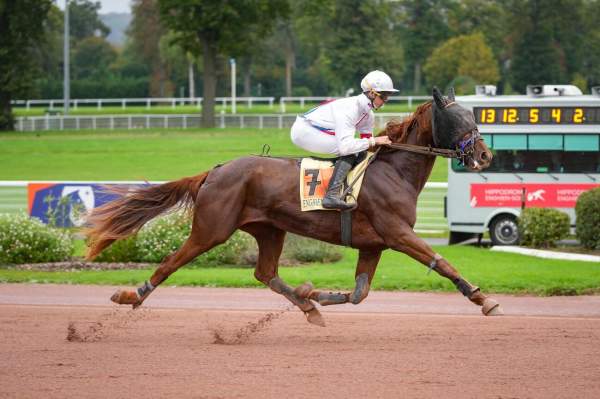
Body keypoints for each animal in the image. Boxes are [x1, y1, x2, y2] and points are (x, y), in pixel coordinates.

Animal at [85, 86, 502, 326]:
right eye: (458, 118)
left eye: (473, 116)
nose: (484, 155)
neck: (394, 170)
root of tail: (215, 170)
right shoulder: (397, 233)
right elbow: (442, 262)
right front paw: (484, 299)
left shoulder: (373, 244)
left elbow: (359, 293)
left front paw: (316, 295)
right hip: (212, 228)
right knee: (172, 262)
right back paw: (132, 295)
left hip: (269, 229)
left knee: (265, 273)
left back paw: (307, 306)